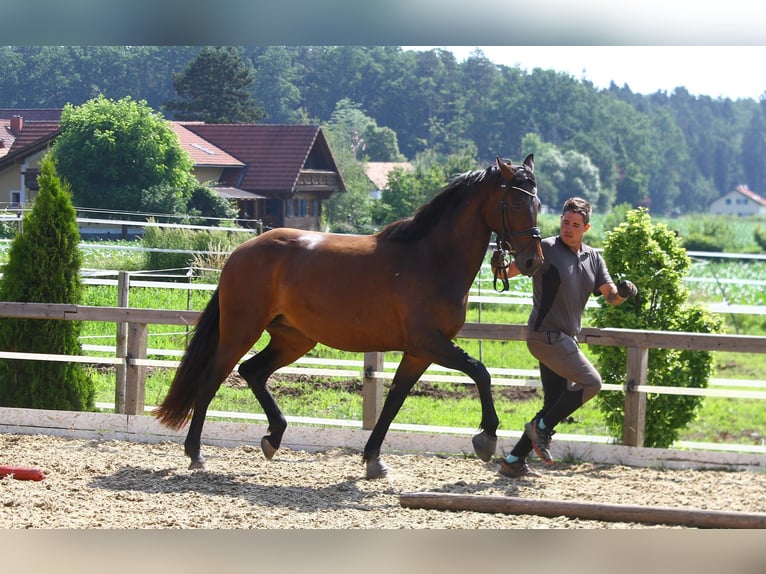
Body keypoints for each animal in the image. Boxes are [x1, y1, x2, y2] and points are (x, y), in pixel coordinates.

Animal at [154, 155, 544, 480]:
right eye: (515, 203)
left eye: (538, 204)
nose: (532, 261)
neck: (432, 258)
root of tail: (239, 251)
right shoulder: (430, 342)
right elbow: (481, 372)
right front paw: (486, 437)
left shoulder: (419, 351)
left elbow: (395, 400)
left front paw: (374, 460)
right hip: (242, 329)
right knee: (212, 378)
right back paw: (196, 454)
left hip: (293, 338)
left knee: (253, 371)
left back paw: (273, 437)